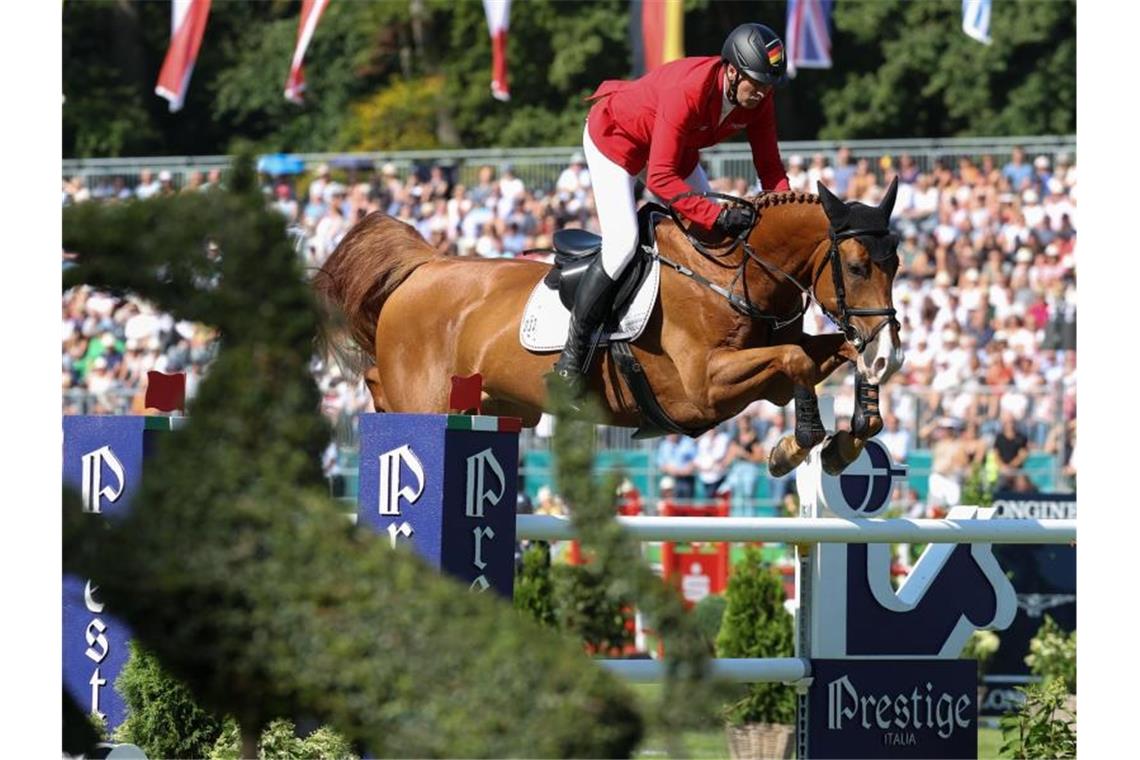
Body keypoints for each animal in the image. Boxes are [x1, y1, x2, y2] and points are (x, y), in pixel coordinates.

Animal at [316, 180, 902, 476]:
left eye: (896, 264)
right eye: (856, 267)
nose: (891, 353)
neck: (728, 273)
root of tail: (425, 267)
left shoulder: (766, 373)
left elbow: (832, 353)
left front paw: (855, 431)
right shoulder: (704, 389)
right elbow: (798, 359)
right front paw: (795, 447)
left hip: (494, 403)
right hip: (426, 390)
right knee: (385, 387)